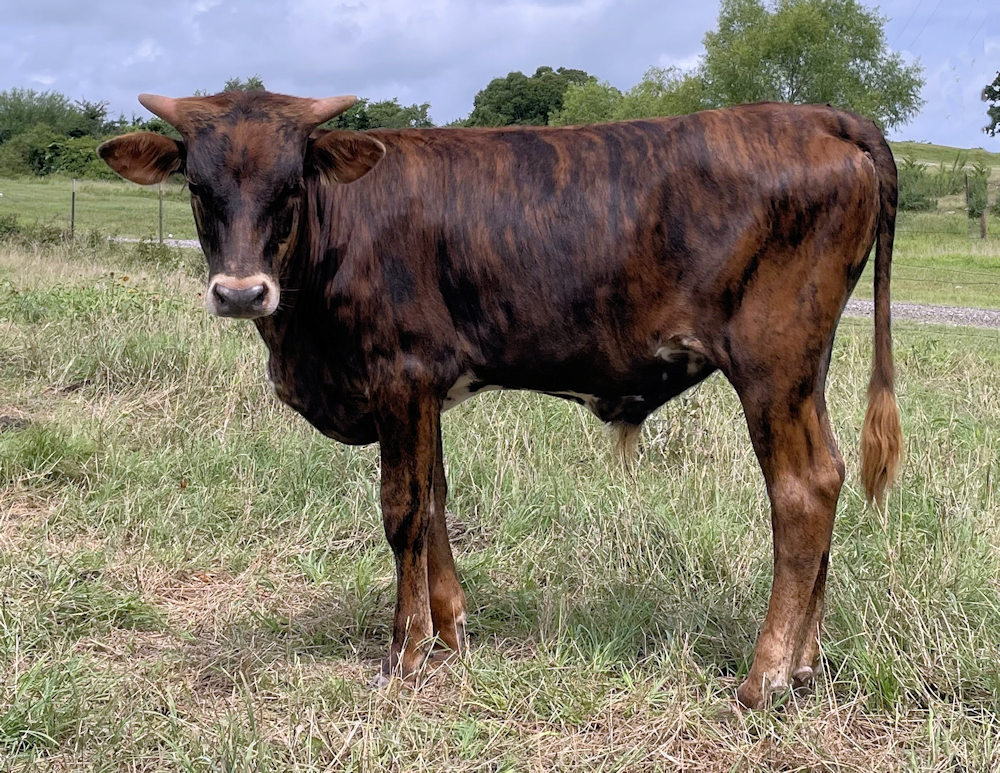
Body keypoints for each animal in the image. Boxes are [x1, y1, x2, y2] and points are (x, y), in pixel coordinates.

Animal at [98, 90, 902, 708]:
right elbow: (435, 501)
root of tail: (821, 116)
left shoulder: (400, 375)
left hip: (772, 361)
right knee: (828, 475)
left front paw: (405, 650)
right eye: (197, 187)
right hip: (806, 369)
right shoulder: (427, 392)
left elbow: (401, 510)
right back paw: (804, 665)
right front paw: (451, 631)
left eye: (291, 185)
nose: (240, 292)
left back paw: (764, 678)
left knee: (801, 489)